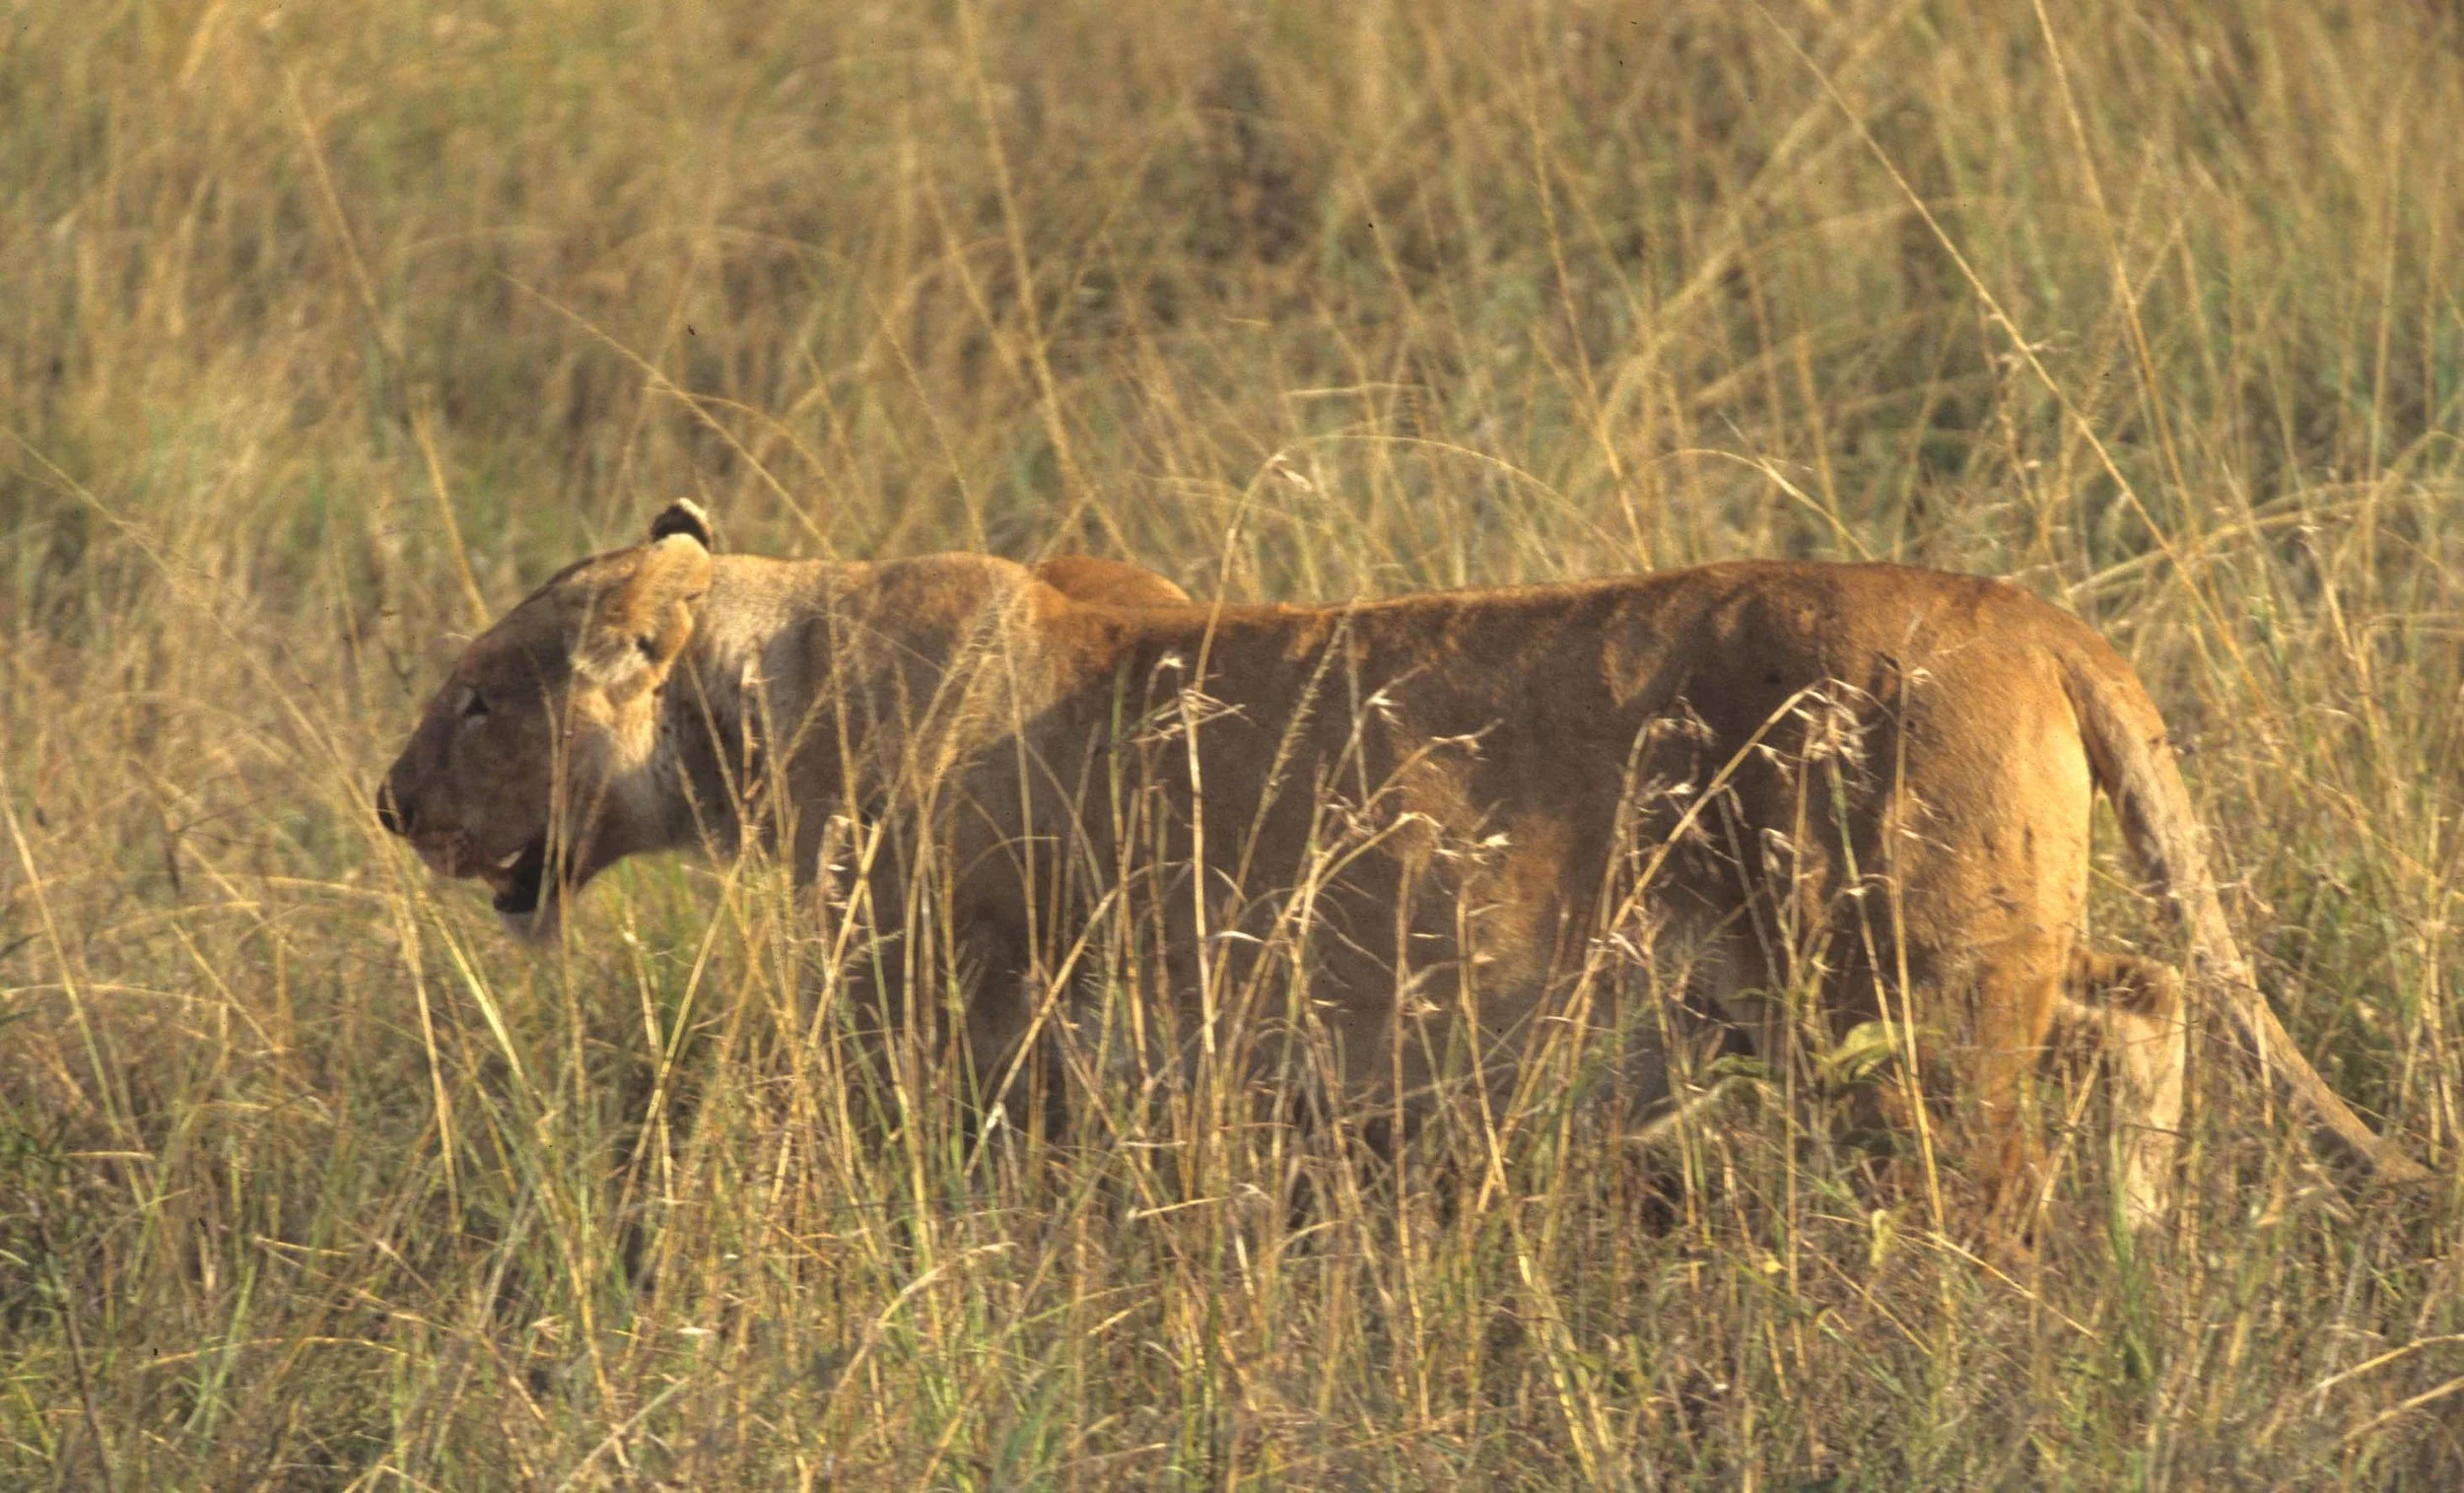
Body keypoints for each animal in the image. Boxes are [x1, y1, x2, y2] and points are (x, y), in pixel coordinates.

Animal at [376, 500, 2429, 1232]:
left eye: (478, 696)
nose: (388, 804)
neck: (766, 687)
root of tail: (2025, 610)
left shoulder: (976, 1019)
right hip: (1947, 965)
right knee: (2147, 999)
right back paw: (2144, 1247)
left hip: (1913, 994)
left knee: (1998, 1174)